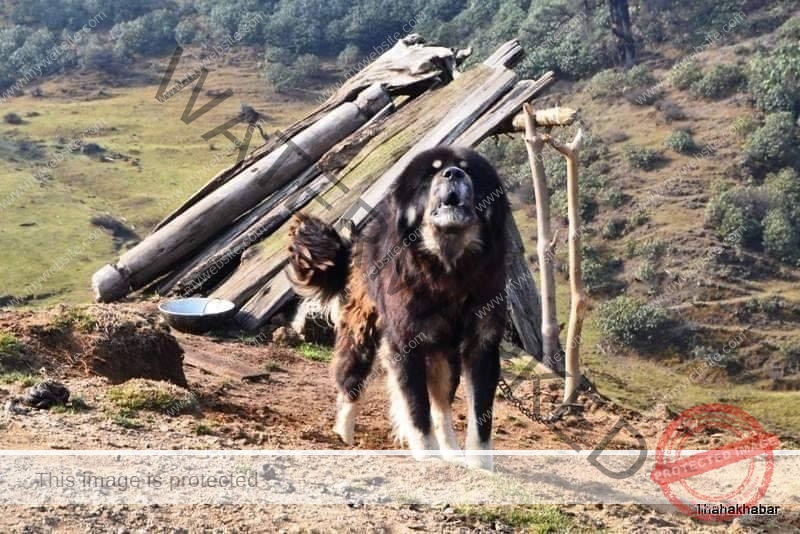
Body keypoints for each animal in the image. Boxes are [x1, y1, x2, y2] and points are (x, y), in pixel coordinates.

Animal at [290, 147, 510, 468]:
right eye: (432, 173)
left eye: (467, 168)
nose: (453, 173)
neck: (447, 269)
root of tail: (356, 243)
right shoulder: (405, 346)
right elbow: (417, 411)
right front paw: (428, 457)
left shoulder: (481, 344)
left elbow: (479, 419)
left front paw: (480, 468)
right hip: (361, 339)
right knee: (350, 389)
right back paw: (343, 439)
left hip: (446, 356)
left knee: (442, 406)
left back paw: (452, 452)